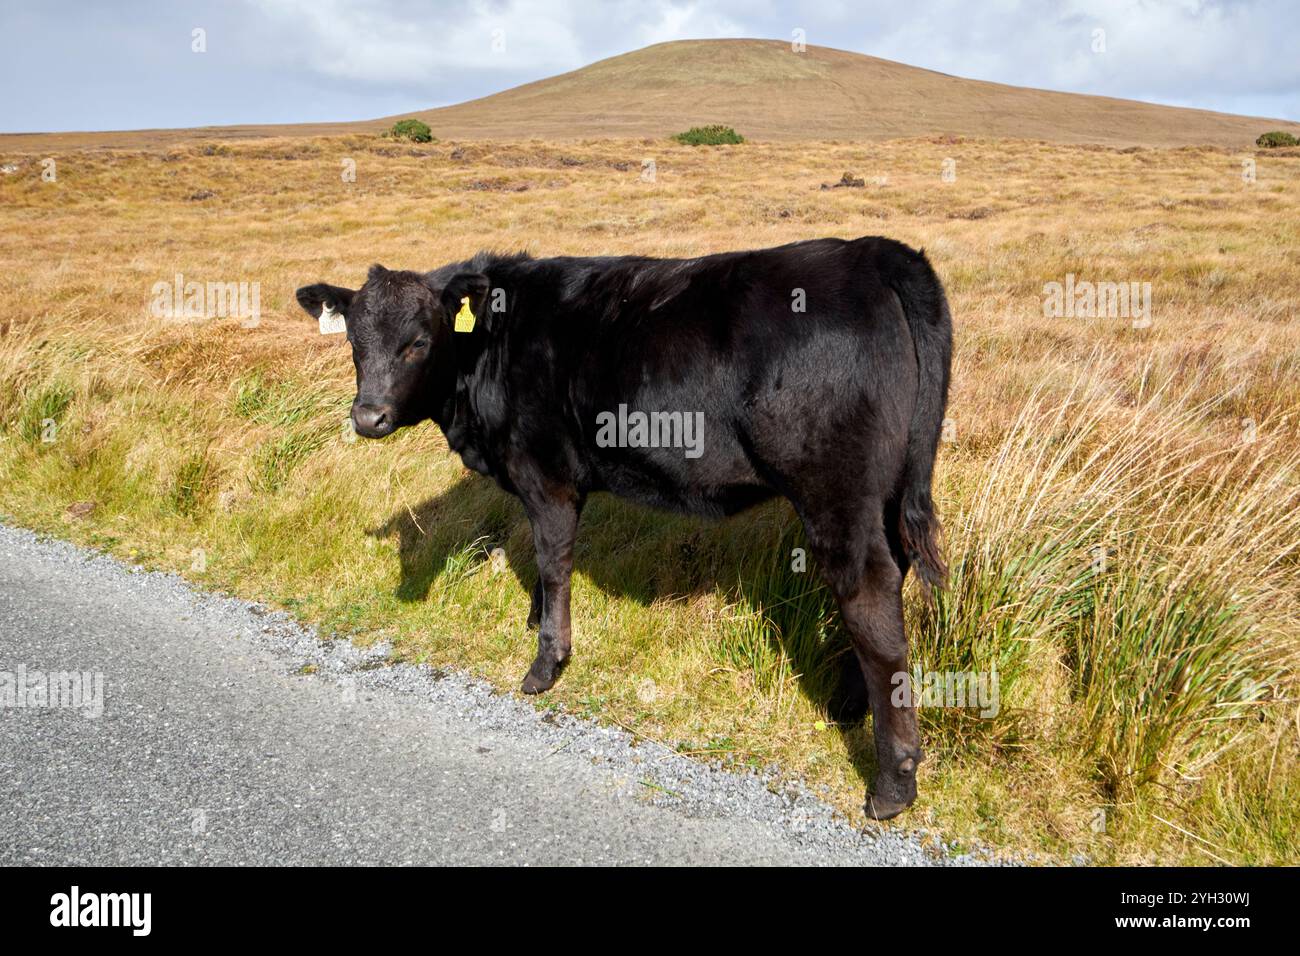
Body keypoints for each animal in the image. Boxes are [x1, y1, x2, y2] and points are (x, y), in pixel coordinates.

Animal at [296, 236, 952, 819]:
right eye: (353, 339)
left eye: (419, 340)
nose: (368, 416)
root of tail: (875, 251)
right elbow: (539, 562)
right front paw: (534, 620)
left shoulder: (546, 473)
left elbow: (553, 560)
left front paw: (546, 662)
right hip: (888, 493)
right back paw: (849, 705)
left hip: (835, 492)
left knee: (870, 602)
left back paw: (892, 783)